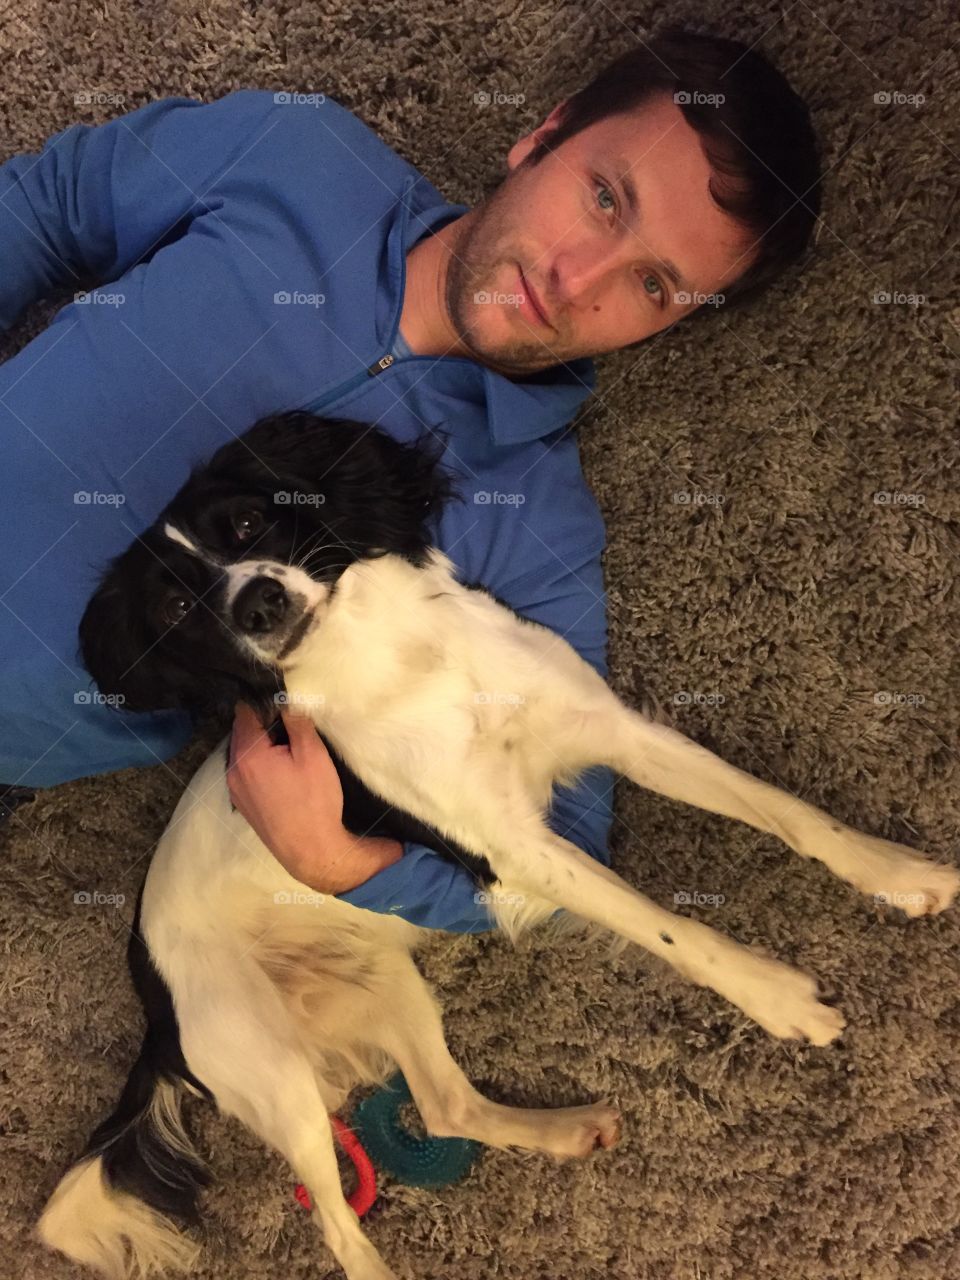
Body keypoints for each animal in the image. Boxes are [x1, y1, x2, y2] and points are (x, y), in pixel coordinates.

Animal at [39, 409, 960, 1280]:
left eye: (244, 524)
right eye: (176, 609)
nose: (256, 603)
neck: (395, 658)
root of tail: (150, 994)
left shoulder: (613, 732)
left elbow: (788, 813)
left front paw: (896, 871)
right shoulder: (514, 855)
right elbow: (674, 931)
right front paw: (777, 998)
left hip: (384, 984)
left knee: (450, 1108)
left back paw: (566, 1131)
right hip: (274, 1071)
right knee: (336, 1227)